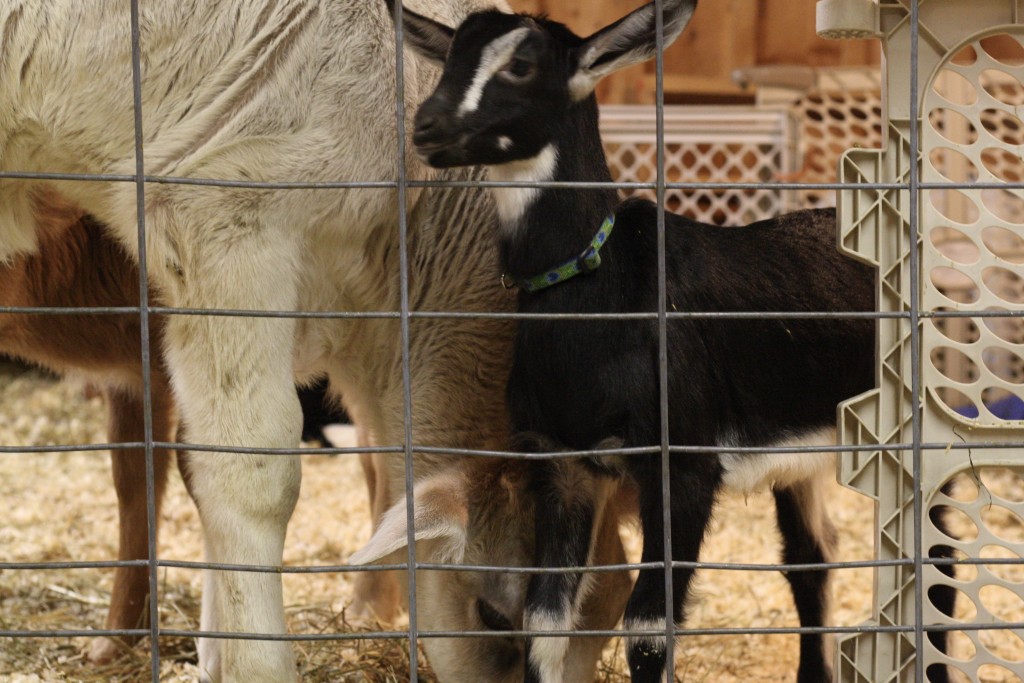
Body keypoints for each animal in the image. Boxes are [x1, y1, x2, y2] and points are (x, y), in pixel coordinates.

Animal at [385, 0, 950, 679]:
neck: (599, 293)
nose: (428, 127)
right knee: (811, 556)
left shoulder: (682, 464)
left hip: (921, 424)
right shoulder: (562, 463)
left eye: (521, 64)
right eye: (451, 57)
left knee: (935, 550)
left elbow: (649, 630)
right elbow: (544, 621)